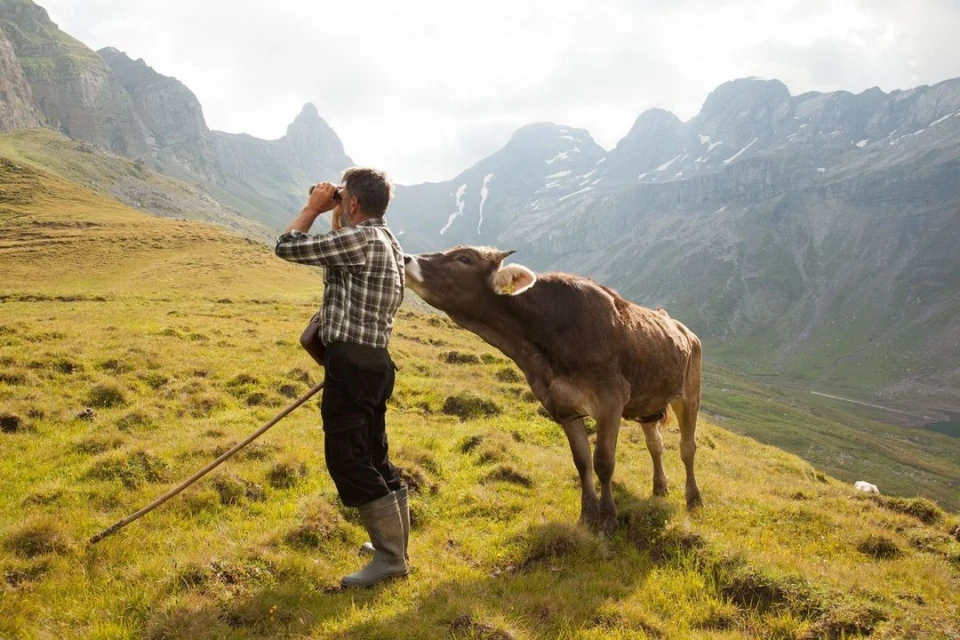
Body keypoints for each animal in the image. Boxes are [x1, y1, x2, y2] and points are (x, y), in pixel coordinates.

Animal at [403, 245, 703, 535]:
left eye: (464, 258)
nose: (405, 258)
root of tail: (680, 327)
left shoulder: (610, 402)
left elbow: (603, 462)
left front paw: (607, 520)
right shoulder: (564, 407)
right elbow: (582, 462)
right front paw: (587, 516)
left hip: (689, 394)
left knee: (687, 447)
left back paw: (694, 499)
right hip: (648, 402)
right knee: (655, 444)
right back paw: (660, 487)